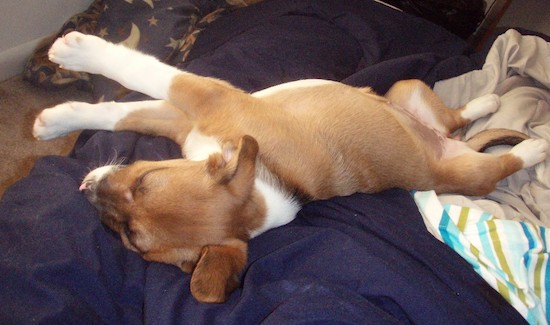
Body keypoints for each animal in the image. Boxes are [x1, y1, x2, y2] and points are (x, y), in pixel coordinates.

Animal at [34, 31, 550, 302]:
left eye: (144, 183)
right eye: (128, 236)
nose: (87, 190)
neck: (264, 179)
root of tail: (444, 152)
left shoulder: (207, 97)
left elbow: (149, 73)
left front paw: (78, 52)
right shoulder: (183, 123)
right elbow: (122, 112)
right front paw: (56, 120)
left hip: (471, 175)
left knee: (498, 161)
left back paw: (535, 149)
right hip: (406, 91)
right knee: (458, 119)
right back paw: (486, 101)